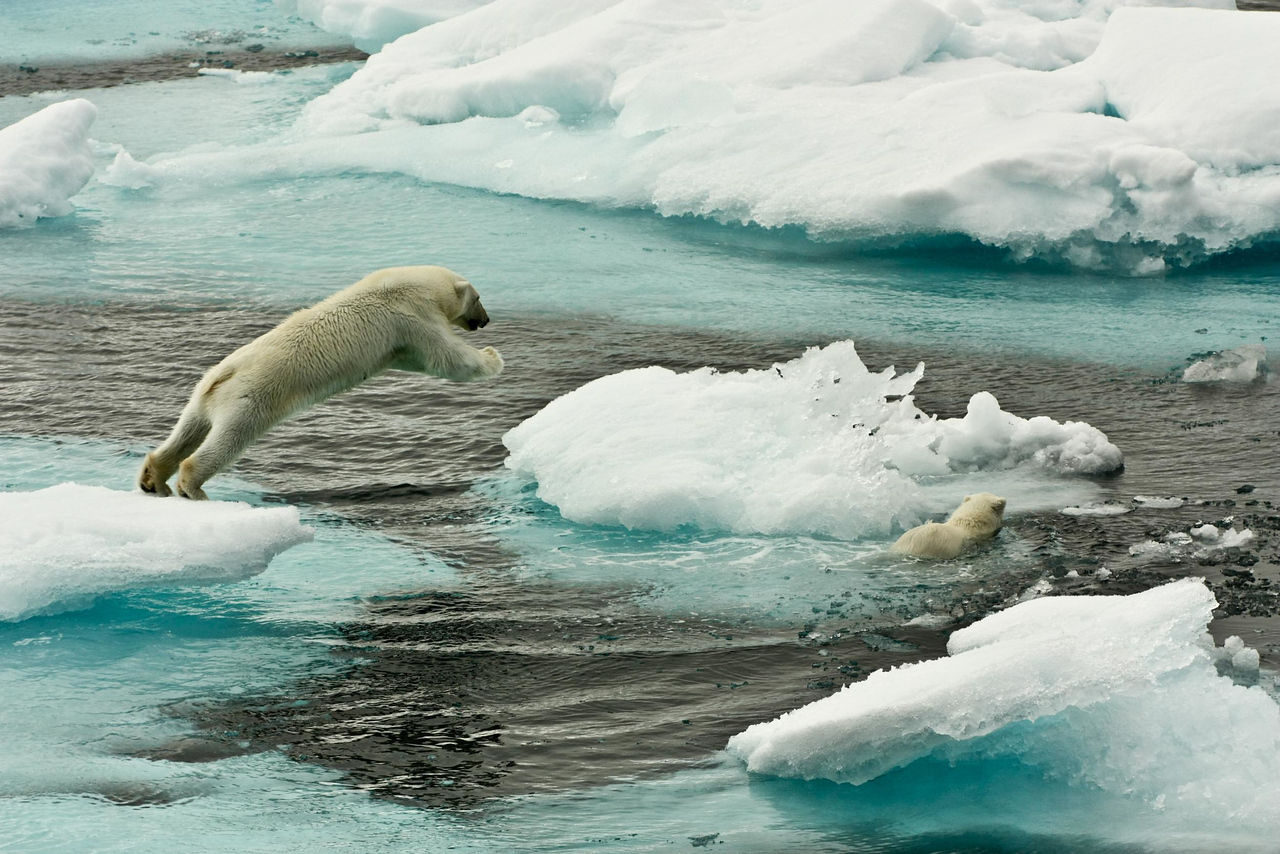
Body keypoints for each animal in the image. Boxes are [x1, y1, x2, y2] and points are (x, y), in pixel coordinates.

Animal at [137, 263, 499, 496]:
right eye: (479, 298)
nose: (486, 320)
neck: (417, 284)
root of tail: (221, 377)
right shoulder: (412, 315)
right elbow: (447, 358)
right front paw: (494, 357)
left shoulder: (398, 343)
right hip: (250, 400)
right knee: (227, 441)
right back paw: (192, 488)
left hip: (200, 397)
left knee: (186, 431)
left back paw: (153, 479)